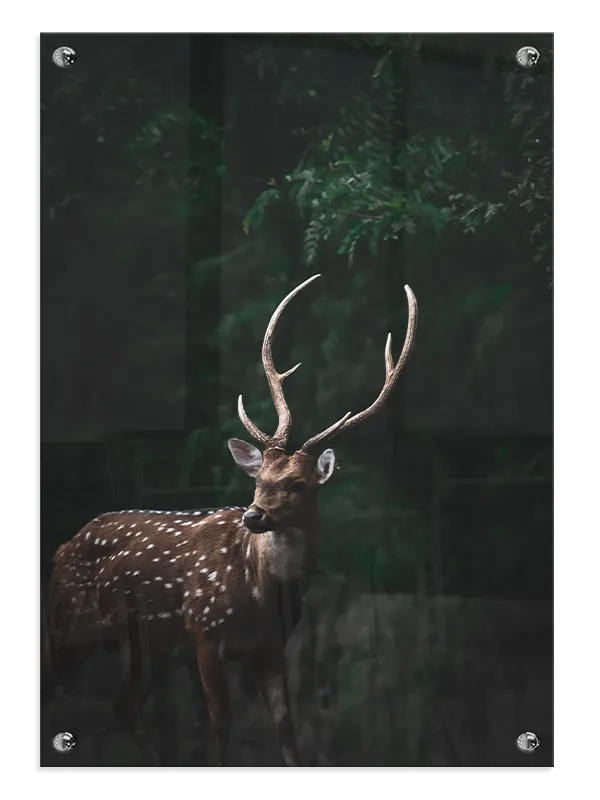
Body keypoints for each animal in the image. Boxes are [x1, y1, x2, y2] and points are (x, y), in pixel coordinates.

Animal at [47, 274, 418, 766]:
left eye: (298, 484)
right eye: (258, 478)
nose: (252, 515)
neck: (259, 591)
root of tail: (63, 546)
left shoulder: (270, 647)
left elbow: (286, 730)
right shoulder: (203, 627)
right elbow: (220, 723)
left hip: (148, 639)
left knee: (123, 704)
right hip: (70, 619)